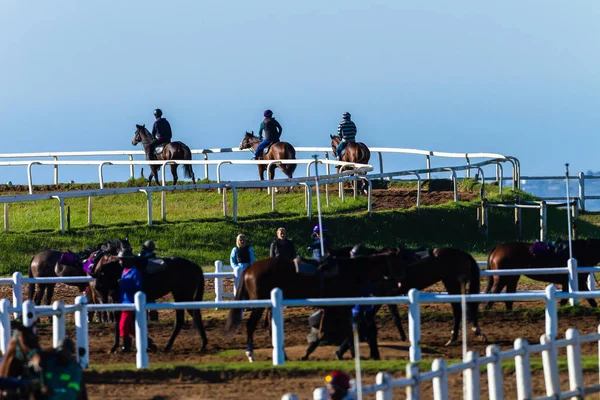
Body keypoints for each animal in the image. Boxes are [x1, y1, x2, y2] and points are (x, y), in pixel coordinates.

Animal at [223, 253, 406, 362]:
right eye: (401, 262)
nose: (399, 284)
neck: (350, 271)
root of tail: (249, 267)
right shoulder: (338, 307)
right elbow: (334, 331)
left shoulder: (335, 308)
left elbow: (338, 330)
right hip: (259, 304)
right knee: (250, 326)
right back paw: (250, 354)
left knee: (269, 327)